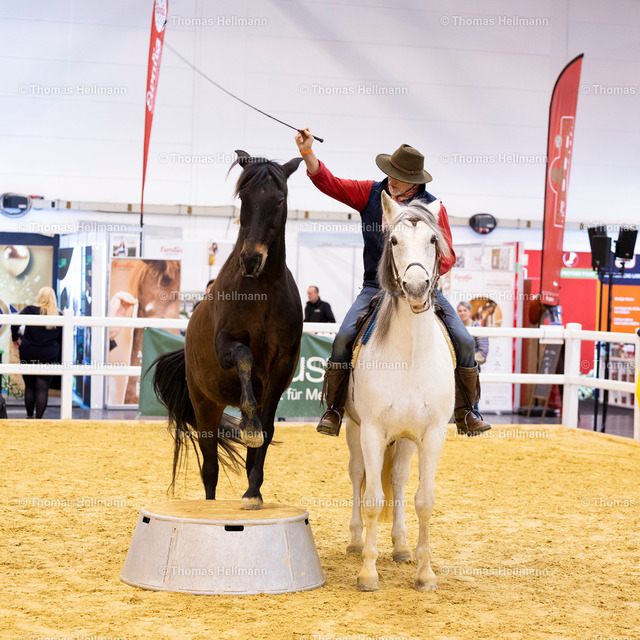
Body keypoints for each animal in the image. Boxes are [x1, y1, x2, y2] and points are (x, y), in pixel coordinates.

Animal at [153, 150, 303, 510]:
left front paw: (253, 492)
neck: (261, 292)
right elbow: (244, 355)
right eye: (244, 197)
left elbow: (265, 433)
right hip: (205, 406)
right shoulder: (226, 346)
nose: (251, 260)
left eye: (279, 199)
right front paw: (246, 422)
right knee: (209, 470)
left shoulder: (281, 367)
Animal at [344, 191, 455, 592]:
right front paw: (367, 572)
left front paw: (425, 573)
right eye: (393, 241)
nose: (417, 287)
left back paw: (402, 546)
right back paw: (356, 541)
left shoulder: (432, 435)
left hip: (406, 441)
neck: (409, 355)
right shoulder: (373, 432)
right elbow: (373, 499)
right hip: (354, 430)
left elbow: (424, 501)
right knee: (359, 475)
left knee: (398, 479)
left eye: (434, 240)